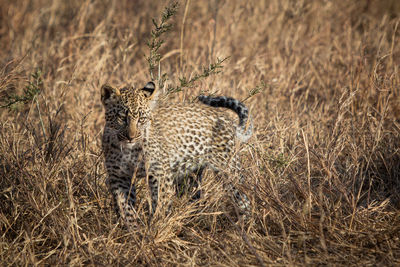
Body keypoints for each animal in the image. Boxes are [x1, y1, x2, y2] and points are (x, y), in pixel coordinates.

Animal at [100, 81, 252, 226]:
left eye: (141, 118)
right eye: (121, 117)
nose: (131, 137)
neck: (128, 149)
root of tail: (226, 118)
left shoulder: (159, 174)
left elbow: (160, 203)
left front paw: (155, 227)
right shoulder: (119, 177)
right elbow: (125, 208)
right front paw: (133, 230)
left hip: (229, 170)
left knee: (243, 198)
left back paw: (243, 225)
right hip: (192, 175)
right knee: (196, 197)